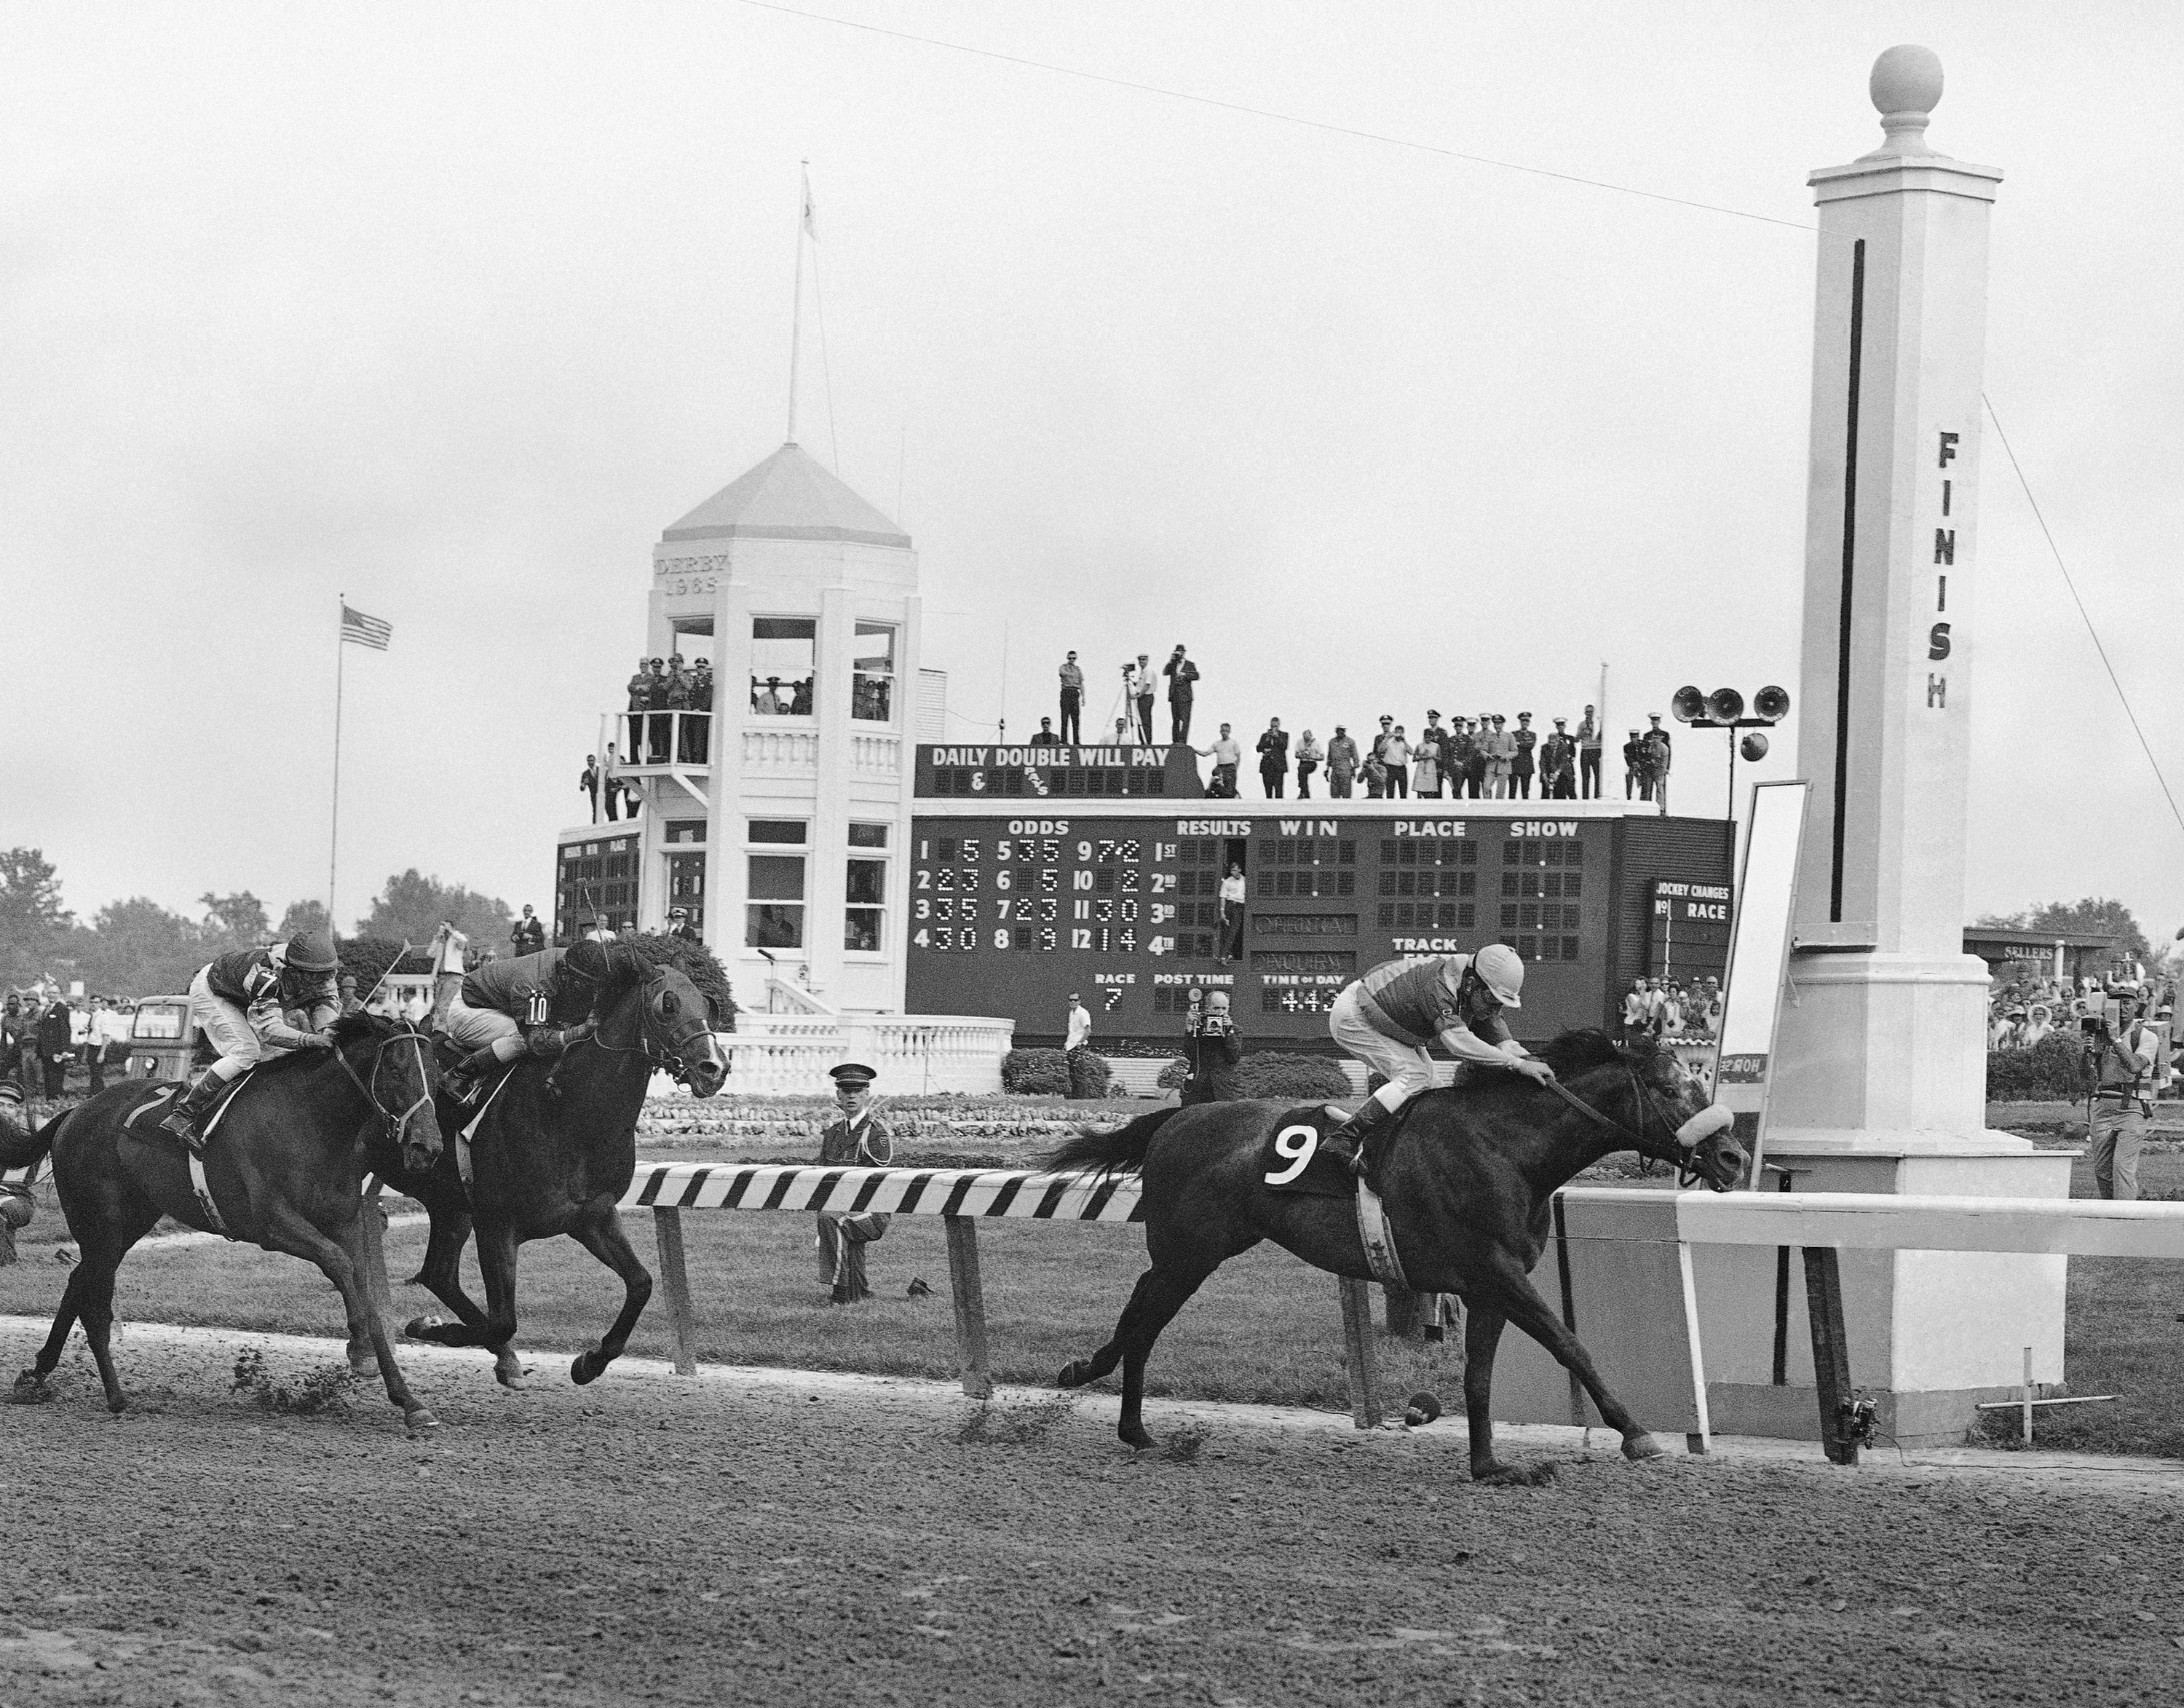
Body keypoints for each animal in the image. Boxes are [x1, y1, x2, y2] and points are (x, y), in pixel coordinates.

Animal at [3, 1018, 448, 1433]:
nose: (428, 1147)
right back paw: (115, 1395)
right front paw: (359, 1345)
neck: (313, 1123)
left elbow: (366, 1291)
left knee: (78, 1281)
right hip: (103, 1224)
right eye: (396, 1069)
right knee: (93, 1300)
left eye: (437, 1071)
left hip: (131, 1220)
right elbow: (339, 1265)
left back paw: (37, 1375)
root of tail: (75, 1111)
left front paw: (409, 1400)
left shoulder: (347, 1223)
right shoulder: (273, 1225)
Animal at [389, 948, 729, 1389]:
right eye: (667, 1005)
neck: (568, 1112)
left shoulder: (591, 1215)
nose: (714, 1068)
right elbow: (503, 1322)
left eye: (709, 1005)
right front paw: (430, 1327)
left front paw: (591, 1361)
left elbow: (642, 1283)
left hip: (450, 1206)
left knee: (439, 1275)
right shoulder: (496, 1225)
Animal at [1048, 1031, 1747, 1485]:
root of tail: (1172, 1122)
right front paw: (1636, 1434)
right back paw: (1103, 1392)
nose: (1734, 1157)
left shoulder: (1488, 1286)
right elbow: (1570, 1344)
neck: (1509, 1150)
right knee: (1143, 1319)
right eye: (1668, 1087)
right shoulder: (1495, 1269)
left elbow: (1479, 1376)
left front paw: (1491, 1466)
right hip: (1189, 1253)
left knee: (1141, 1316)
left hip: (1192, 1254)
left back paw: (1125, 1416)